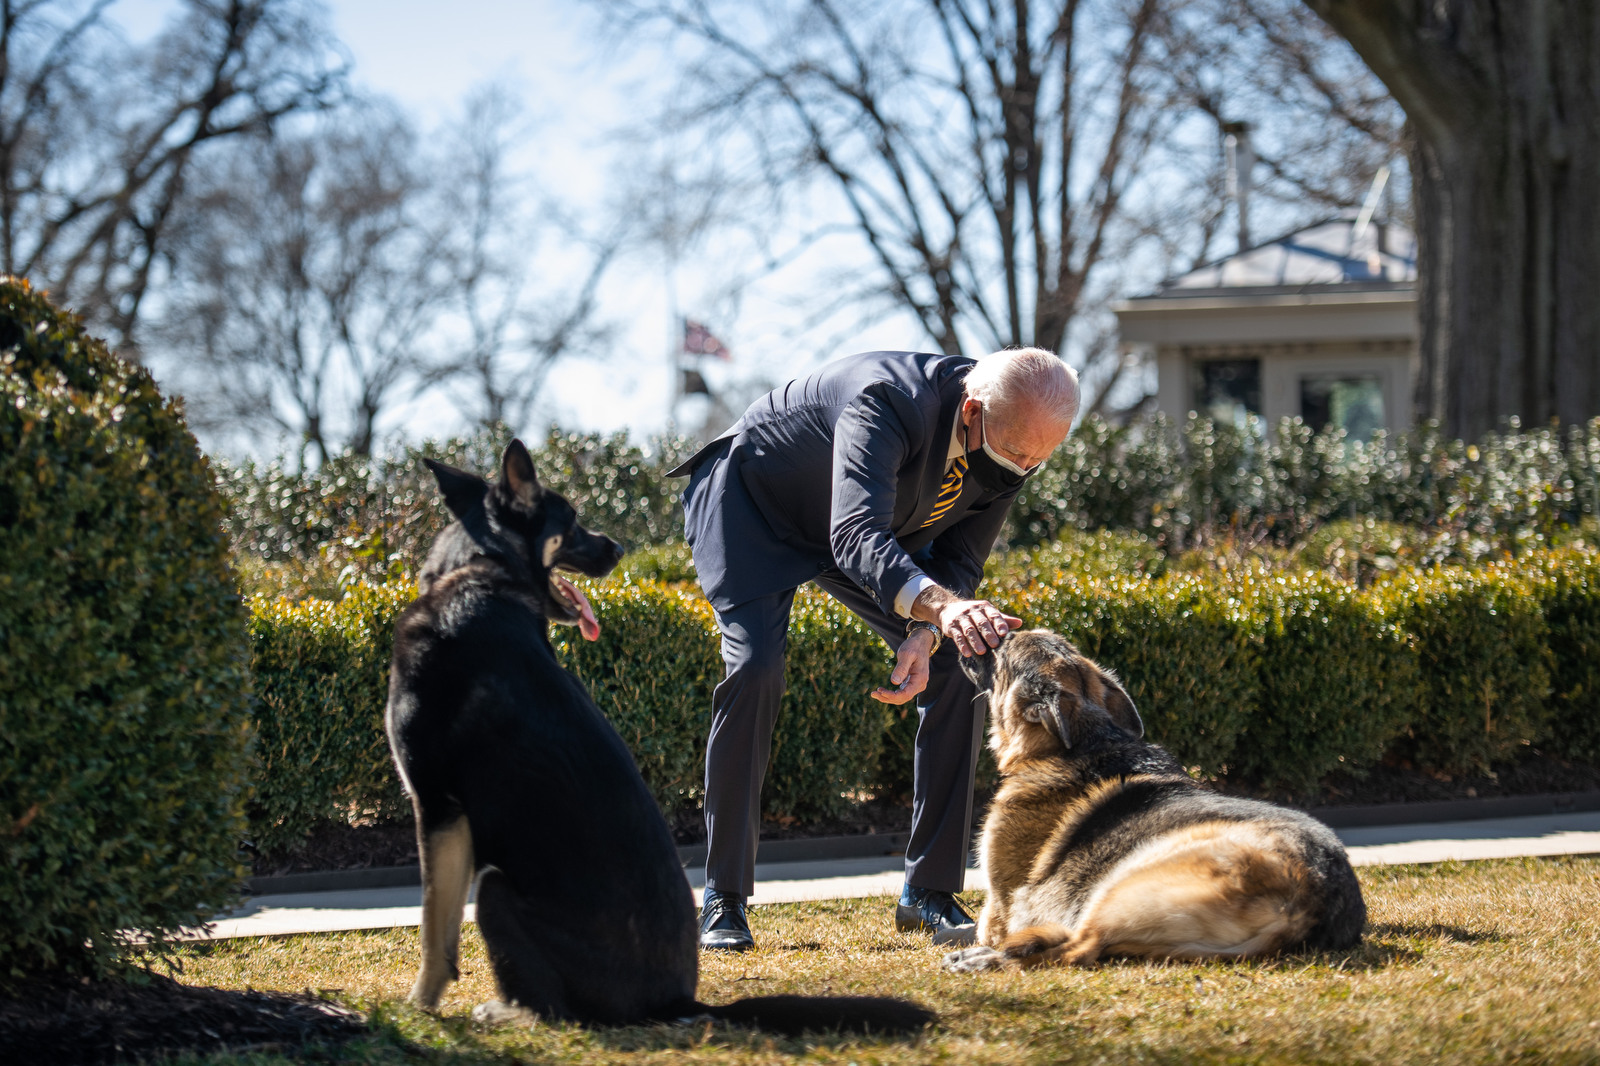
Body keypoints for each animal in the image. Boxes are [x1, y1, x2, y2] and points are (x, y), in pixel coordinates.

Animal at [385, 438, 934, 1030]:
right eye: (571, 522)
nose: (619, 548)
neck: (480, 571)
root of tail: (678, 1001)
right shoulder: (451, 816)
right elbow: (441, 932)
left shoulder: (436, 806)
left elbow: (433, 932)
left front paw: (417, 1008)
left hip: (494, 888)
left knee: (558, 1011)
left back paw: (504, 1013)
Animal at [940, 630, 1369, 973]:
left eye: (1003, 644)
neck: (1088, 740)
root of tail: (1309, 901)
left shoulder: (999, 904)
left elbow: (986, 926)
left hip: (1120, 887)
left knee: (1078, 948)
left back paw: (983, 960)